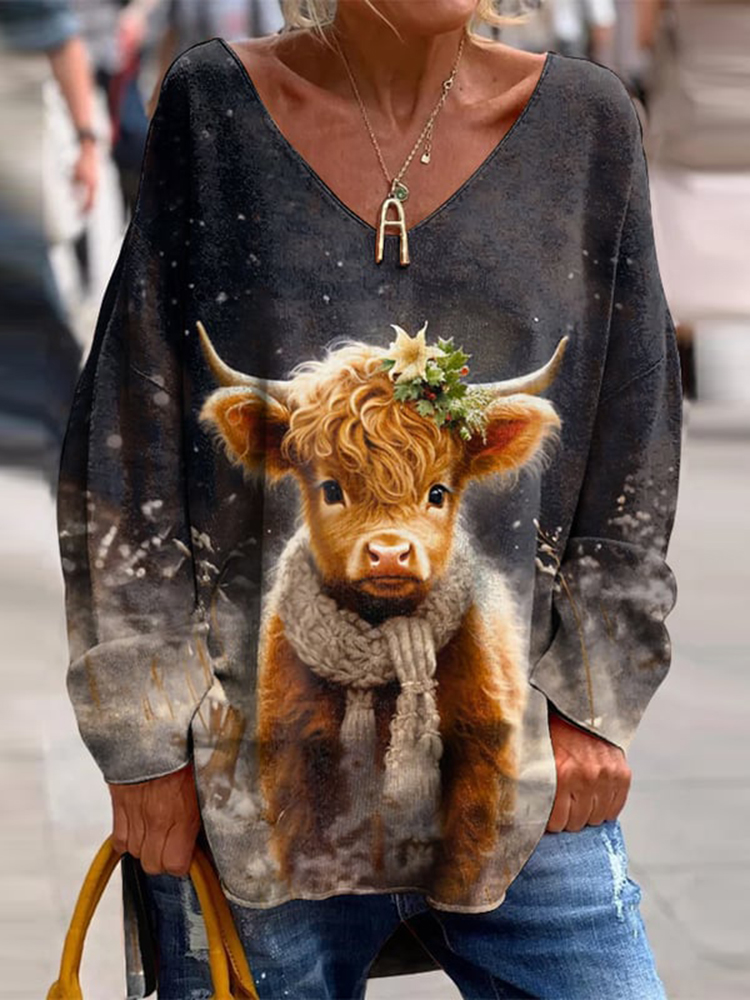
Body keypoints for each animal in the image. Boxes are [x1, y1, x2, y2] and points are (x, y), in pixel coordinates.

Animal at [197, 321, 565, 905]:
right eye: (330, 488)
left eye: (438, 491)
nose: (389, 552)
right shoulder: (293, 756)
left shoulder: (480, 756)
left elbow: (463, 856)